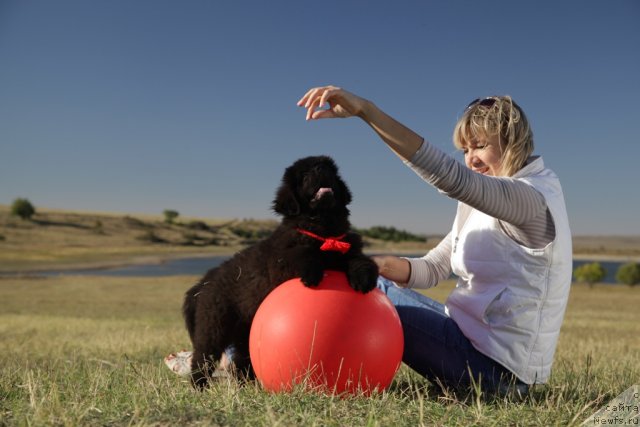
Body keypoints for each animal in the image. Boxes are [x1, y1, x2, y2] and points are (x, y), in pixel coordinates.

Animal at [181, 155, 380, 390]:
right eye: (304, 175)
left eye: (330, 169)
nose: (319, 169)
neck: (322, 231)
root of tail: (203, 282)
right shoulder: (282, 261)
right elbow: (302, 255)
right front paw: (312, 275)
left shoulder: (347, 245)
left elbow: (361, 260)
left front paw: (364, 278)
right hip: (214, 326)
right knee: (202, 357)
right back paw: (199, 386)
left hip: (245, 327)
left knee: (241, 359)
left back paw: (248, 385)